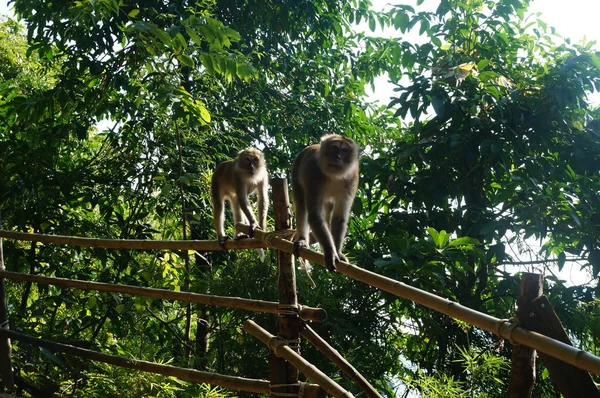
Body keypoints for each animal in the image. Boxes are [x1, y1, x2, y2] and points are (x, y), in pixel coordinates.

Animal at [292, 135, 358, 272]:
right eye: (335, 147)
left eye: (344, 150)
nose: (337, 157)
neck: (334, 176)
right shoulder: (314, 174)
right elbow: (314, 216)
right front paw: (330, 252)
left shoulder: (352, 179)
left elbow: (339, 217)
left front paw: (337, 252)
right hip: (296, 171)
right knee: (301, 205)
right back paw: (303, 240)